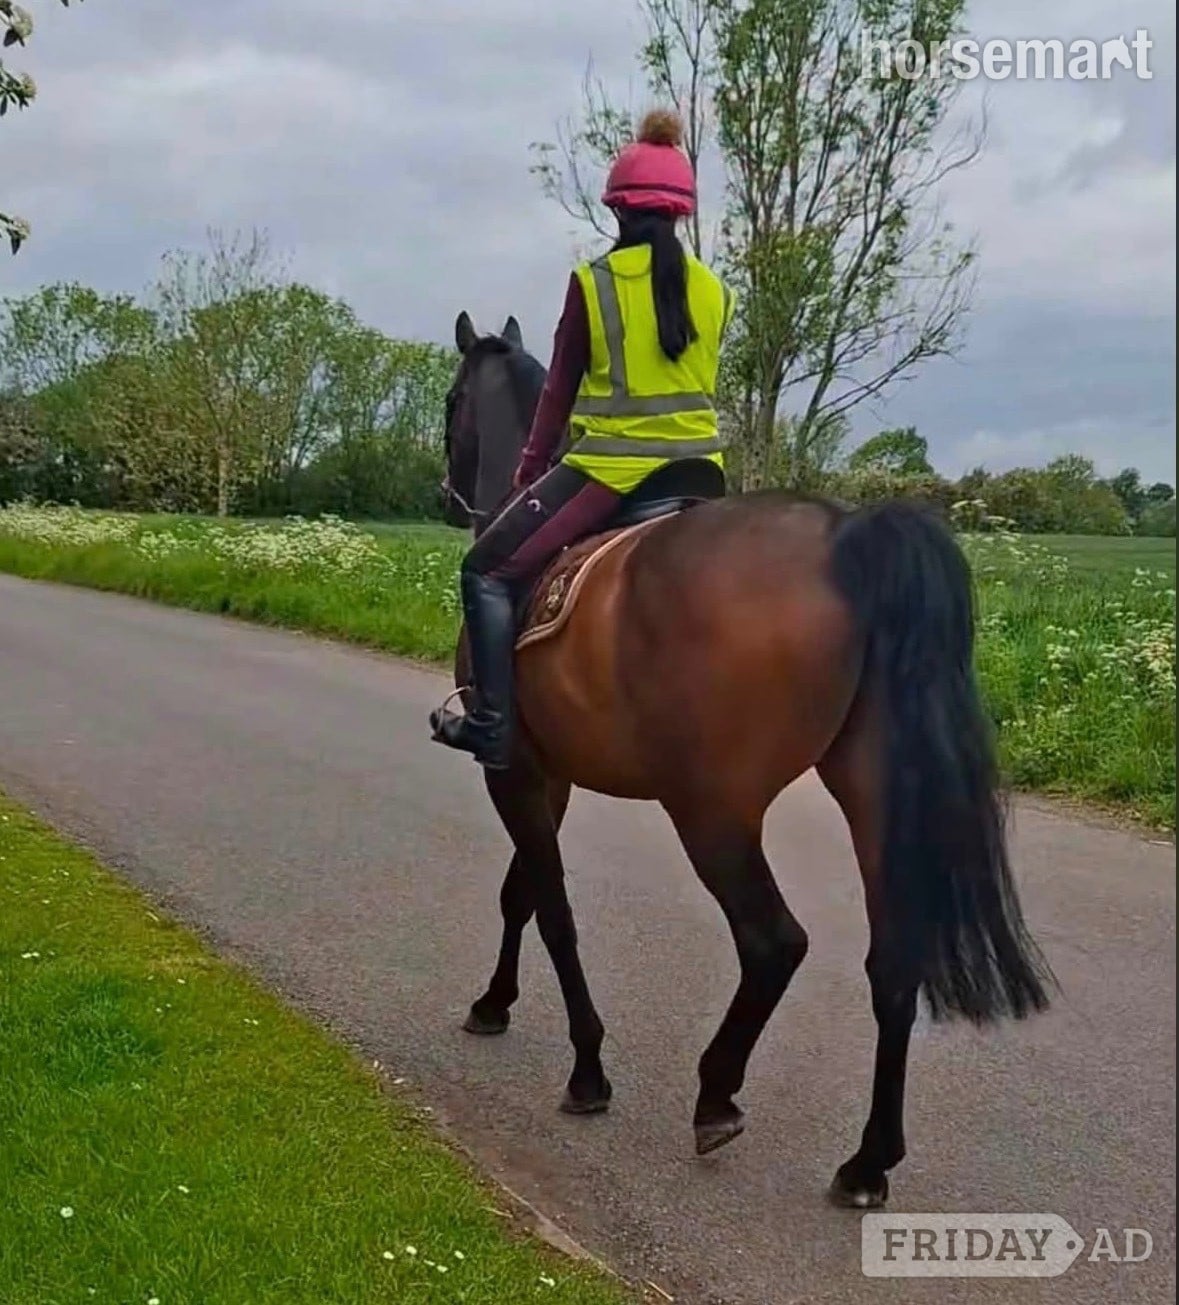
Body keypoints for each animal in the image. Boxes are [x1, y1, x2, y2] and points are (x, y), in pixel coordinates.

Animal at [438, 310, 1054, 1209]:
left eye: (451, 402)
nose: (445, 497)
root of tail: (846, 535)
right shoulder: (544, 774)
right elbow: (523, 892)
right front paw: (495, 1001)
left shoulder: (510, 769)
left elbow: (552, 910)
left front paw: (586, 1066)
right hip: (872, 794)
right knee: (891, 961)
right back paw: (867, 1160)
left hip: (711, 810)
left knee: (773, 941)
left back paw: (716, 1092)